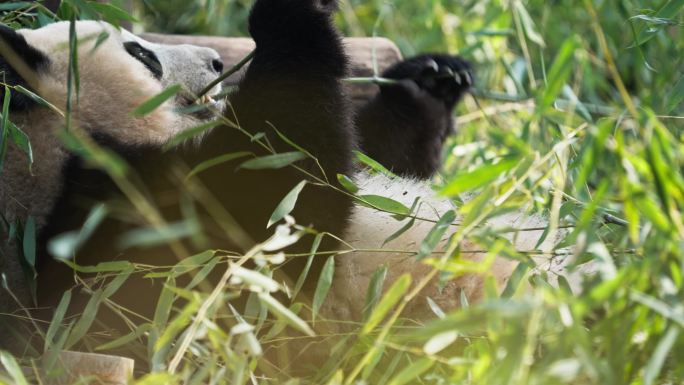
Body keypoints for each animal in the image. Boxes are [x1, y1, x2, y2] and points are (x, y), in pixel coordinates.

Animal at [0, 0, 572, 352]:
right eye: (141, 54)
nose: (216, 60)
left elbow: (365, 156)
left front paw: (429, 81)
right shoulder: (118, 227)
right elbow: (280, 214)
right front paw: (290, 14)